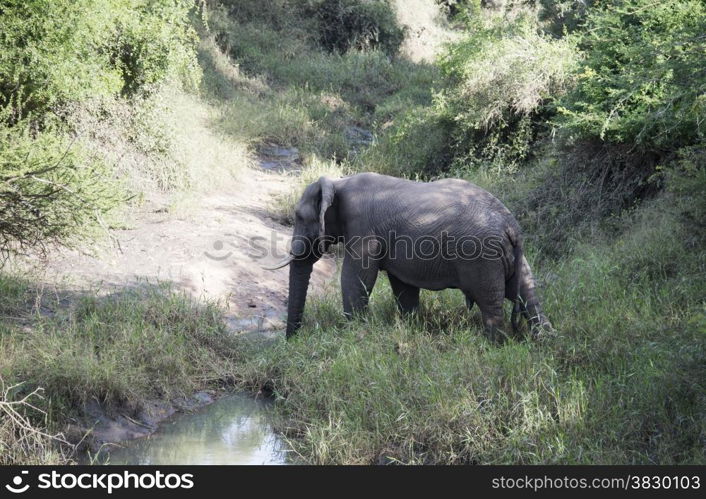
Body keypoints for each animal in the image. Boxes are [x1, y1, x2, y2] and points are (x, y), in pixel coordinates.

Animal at [264, 173, 552, 344]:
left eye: (300, 218)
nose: (291, 342)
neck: (337, 182)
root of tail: (511, 227)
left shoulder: (362, 228)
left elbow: (356, 278)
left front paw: (353, 333)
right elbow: (403, 287)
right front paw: (411, 325)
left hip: (481, 257)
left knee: (491, 303)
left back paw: (493, 345)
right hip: (511, 257)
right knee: (528, 294)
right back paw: (544, 339)